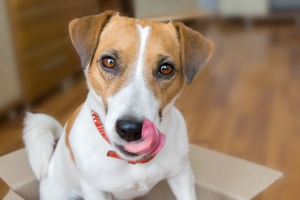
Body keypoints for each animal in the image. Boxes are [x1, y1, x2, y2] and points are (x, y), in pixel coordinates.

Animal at [22, 10, 213, 200]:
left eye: (166, 68)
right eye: (109, 61)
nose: (130, 129)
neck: (133, 162)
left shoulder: (182, 175)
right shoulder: (94, 190)